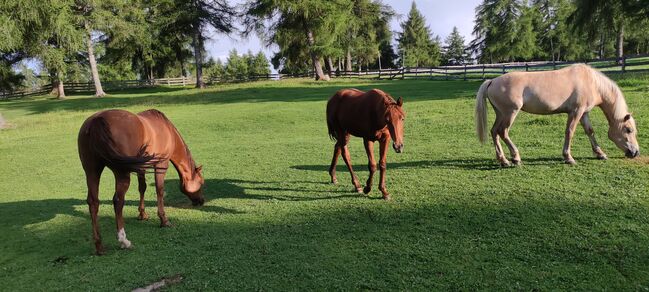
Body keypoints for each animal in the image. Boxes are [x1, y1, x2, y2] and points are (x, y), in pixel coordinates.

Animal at [79, 108, 205, 254]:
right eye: (201, 183)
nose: (201, 201)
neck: (167, 130)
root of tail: (97, 120)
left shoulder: (140, 167)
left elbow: (142, 187)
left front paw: (142, 214)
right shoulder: (161, 164)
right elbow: (159, 190)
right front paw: (164, 220)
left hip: (92, 171)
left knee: (93, 202)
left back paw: (99, 246)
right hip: (121, 173)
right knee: (118, 201)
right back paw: (124, 241)